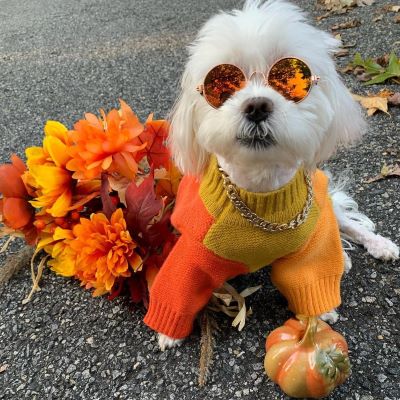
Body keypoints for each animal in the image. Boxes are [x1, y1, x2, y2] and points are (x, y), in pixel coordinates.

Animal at [142, 0, 398, 350]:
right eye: (219, 84)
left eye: (291, 79)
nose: (257, 106)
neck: (260, 191)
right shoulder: (194, 250)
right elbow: (179, 285)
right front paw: (169, 331)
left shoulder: (307, 242)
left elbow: (310, 275)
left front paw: (319, 312)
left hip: (322, 205)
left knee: (342, 224)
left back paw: (375, 246)